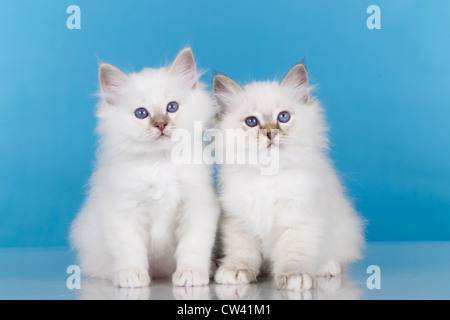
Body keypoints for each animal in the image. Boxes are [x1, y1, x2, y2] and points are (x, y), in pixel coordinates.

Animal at [69, 47, 221, 288]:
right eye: (141, 113)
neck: (161, 163)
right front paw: (131, 276)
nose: (161, 124)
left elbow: (193, 246)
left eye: (172, 107)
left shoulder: (198, 206)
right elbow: (130, 249)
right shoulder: (123, 211)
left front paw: (191, 274)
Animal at [213, 62, 364, 290]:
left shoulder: (300, 221)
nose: (270, 132)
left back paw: (327, 268)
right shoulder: (239, 222)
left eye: (283, 117)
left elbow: (293, 254)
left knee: (337, 256)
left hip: (344, 230)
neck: (268, 175)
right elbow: (242, 253)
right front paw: (236, 271)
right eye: (251, 121)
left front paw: (295, 277)